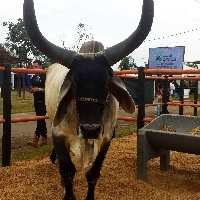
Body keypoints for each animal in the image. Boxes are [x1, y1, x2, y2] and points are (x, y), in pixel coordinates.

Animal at [23, 0, 154, 199]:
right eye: (74, 84)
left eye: (107, 83)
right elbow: (67, 170)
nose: (90, 129)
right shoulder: (57, 132)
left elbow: (93, 173)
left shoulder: (107, 136)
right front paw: (68, 193)